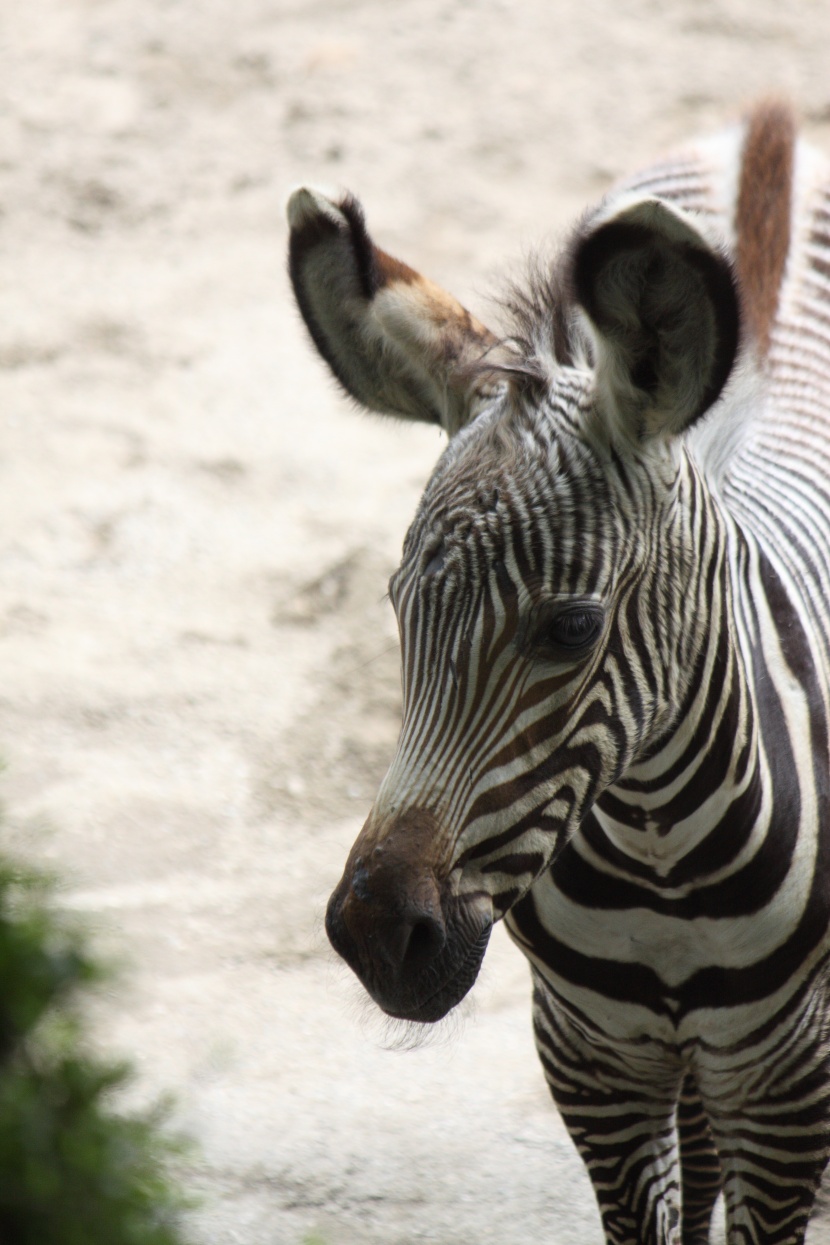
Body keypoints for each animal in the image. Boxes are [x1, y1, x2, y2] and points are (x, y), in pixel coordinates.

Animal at [288, 99, 830, 1245]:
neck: (658, 858)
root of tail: (771, 140)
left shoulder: (784, 1070)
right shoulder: (591, 1054)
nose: (376, 938)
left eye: (571, 628)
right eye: (397, 608)